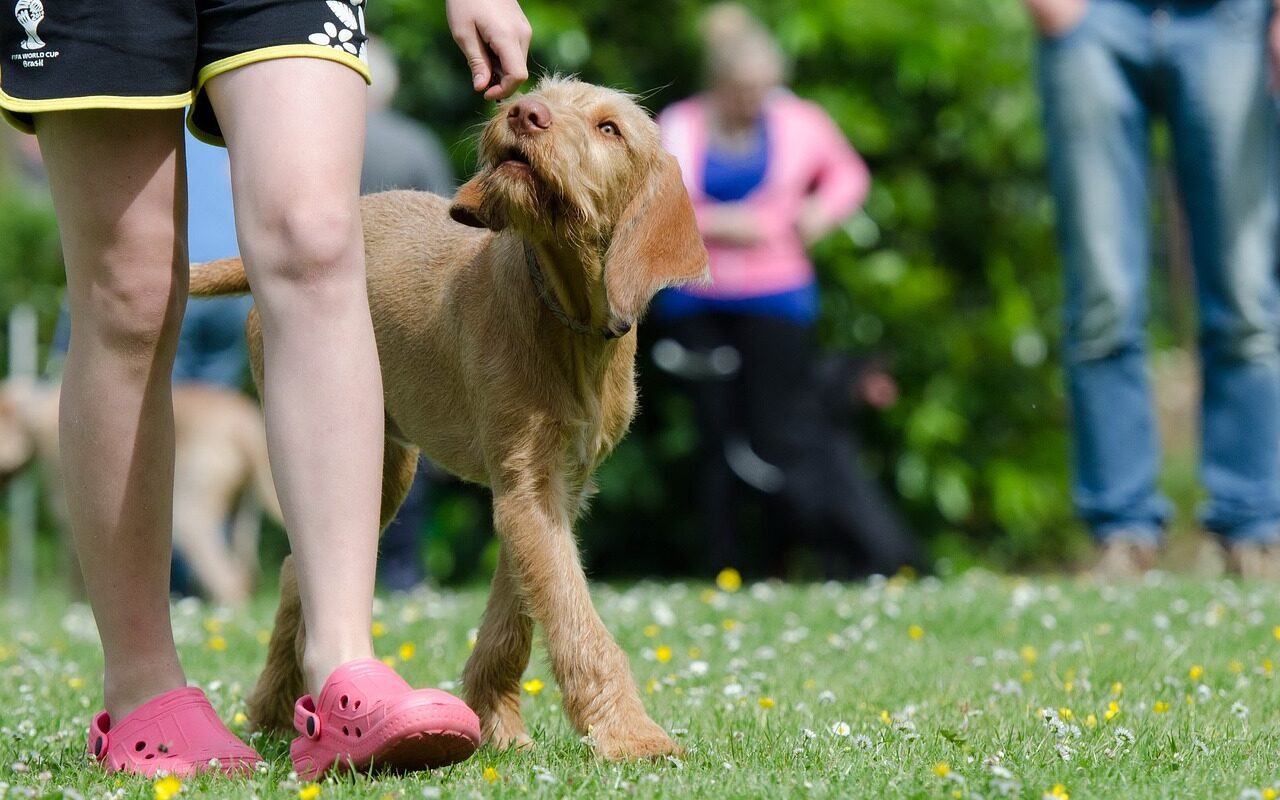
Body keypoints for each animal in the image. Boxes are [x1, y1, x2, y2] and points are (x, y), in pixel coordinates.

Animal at [0, 381, 281, 604]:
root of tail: (243, 423)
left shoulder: (69, 517)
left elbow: (74, 572)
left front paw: (74, 606)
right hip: (243, 515)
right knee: (244, 573)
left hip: (189, 514)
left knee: (228, 579)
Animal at [186, 78, 711, 757]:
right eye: (544, 94)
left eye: (609, 129)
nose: (523, 111)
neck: (567, 316)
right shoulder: (526, 489)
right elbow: (575, 617)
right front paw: (630, 734)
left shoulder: (549, 491)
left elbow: (516, 617)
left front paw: (496, 724)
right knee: (295, 569)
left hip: (383, 468)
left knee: (295, 572)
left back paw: (274, 710)